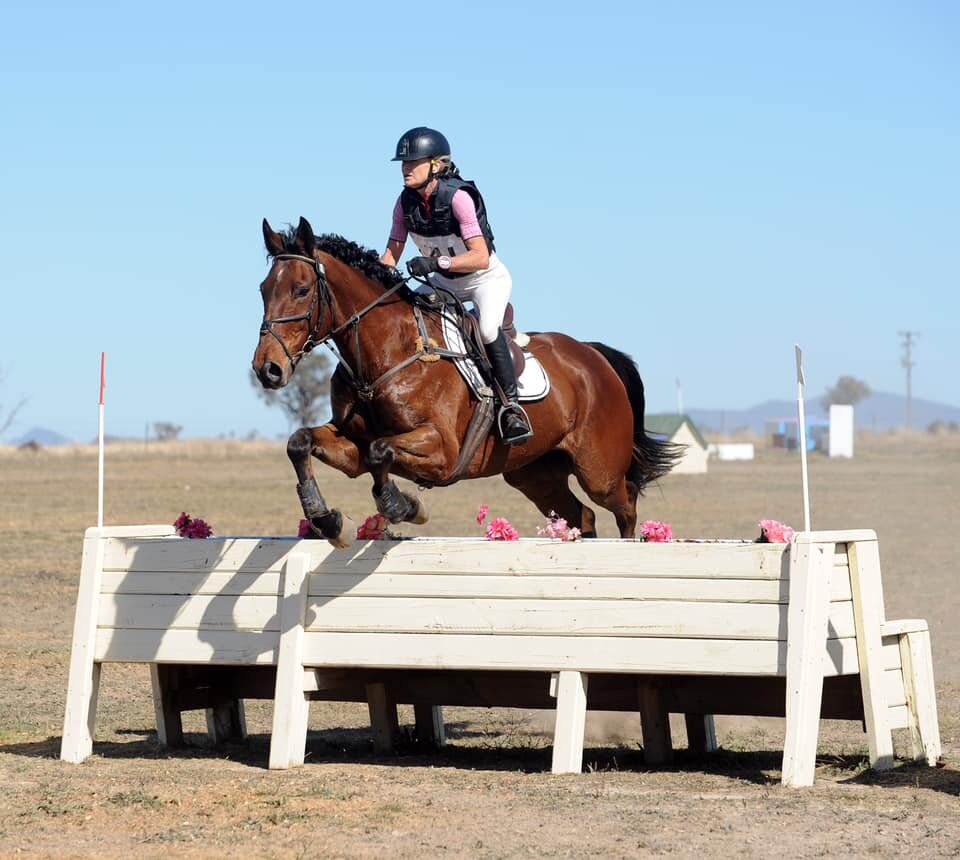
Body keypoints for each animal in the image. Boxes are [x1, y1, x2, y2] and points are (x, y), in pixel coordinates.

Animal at [252, 217, 680, 547]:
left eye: (302, 290)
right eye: (263, 290)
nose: (266, 369)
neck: (385, 354)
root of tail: (594, 356)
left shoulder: (443, 450)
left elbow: (380, 451)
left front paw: (403, 506)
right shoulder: (350, 443)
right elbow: (302, 443)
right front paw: (325, 519)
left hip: (599, 471)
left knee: (625, 505)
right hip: (534, 473)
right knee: (582, 516)